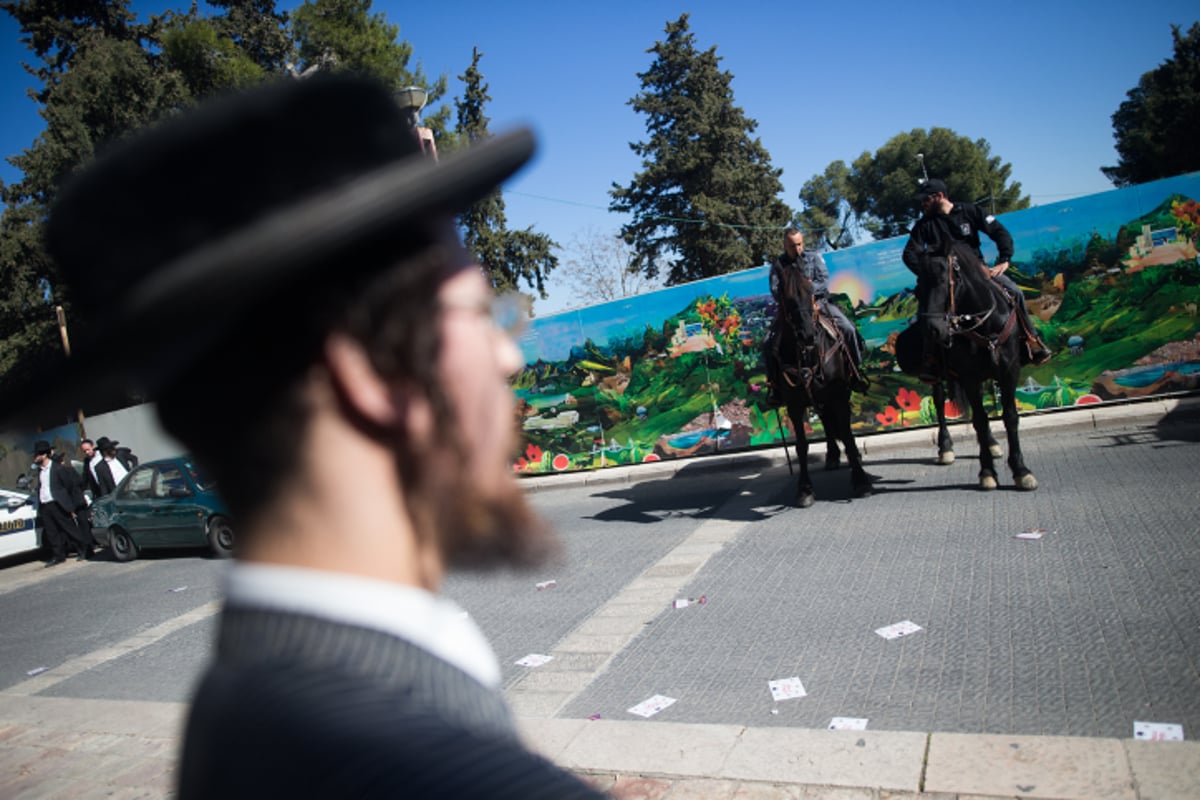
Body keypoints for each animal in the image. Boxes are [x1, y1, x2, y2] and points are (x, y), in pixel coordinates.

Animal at [772, 267, 868, 506]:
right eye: (786, 297)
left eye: (810, 292)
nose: (807, 334)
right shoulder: (795, 405)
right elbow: (801, 446)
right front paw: (805, 489)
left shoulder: (839, 396)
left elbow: (848, 435)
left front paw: (861, 481)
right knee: (825, 421)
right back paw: (832, 456)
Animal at [912, 241, 1036, 491]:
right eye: (918, 287)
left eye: (944, 279)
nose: (933, 329)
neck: (983, 323)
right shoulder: (969, 376)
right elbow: (979, 420)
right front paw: (987, 472)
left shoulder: (1009, 371)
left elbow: (1009, 416)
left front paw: (1021, 470)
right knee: (939, 402)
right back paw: (946, 448)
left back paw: (992, 444)